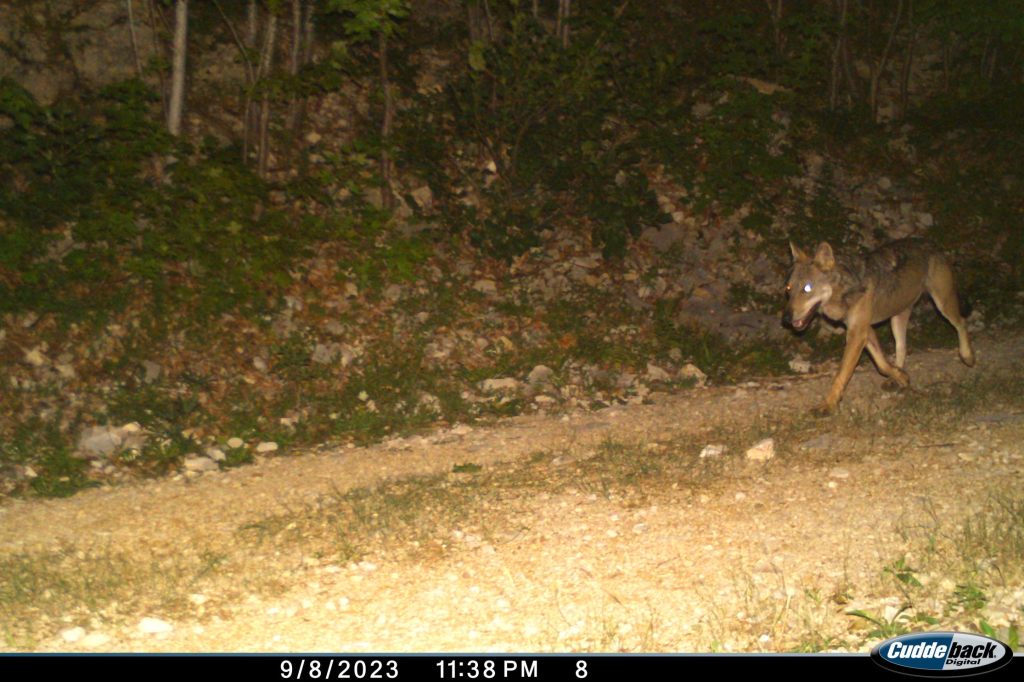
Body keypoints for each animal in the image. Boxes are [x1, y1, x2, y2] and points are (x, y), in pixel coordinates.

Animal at [782, 236, 974, 411]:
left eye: (807, 288)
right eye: (788, 289)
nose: (785, 319)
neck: (845, 292)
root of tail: (931, 243)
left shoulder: (858, 334)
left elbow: (841, 374)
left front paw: (827, 405)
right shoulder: (865, 331)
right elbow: (882, 364)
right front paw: (900, 376)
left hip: (943, 305)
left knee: (962, 323)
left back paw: (967, 355)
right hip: (897, 319)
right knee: (902, 347)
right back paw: (895, 379)